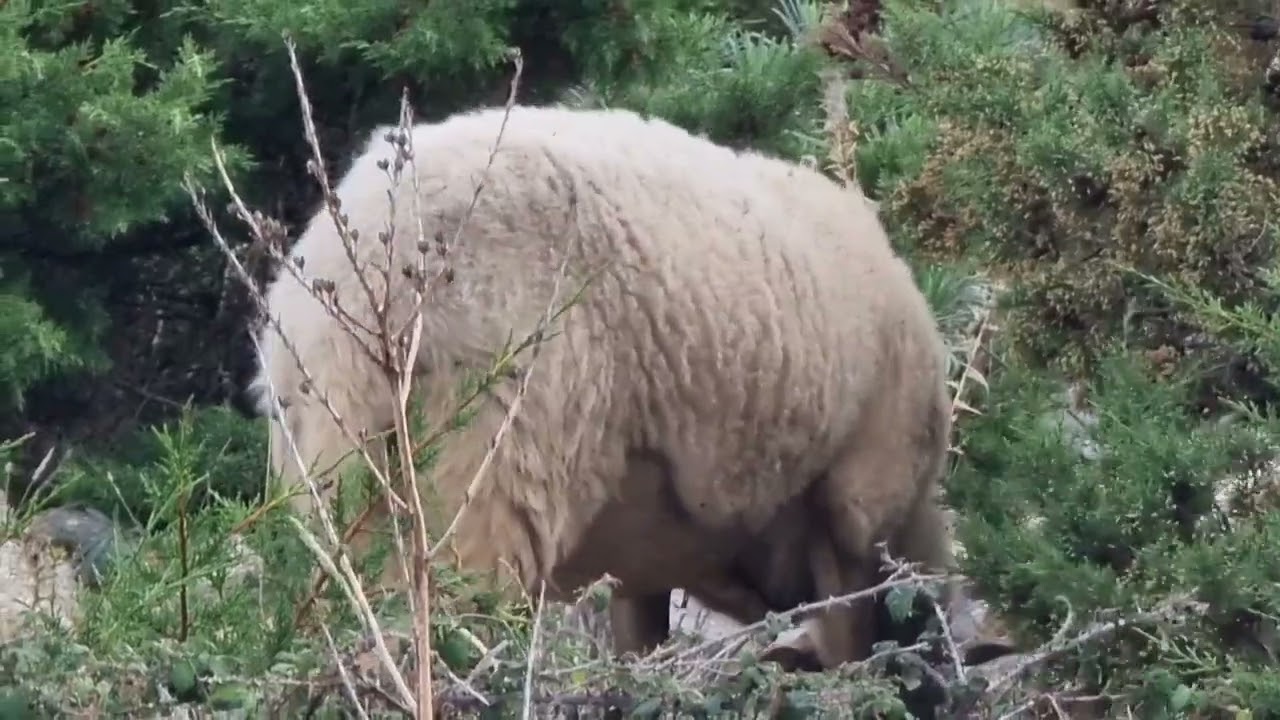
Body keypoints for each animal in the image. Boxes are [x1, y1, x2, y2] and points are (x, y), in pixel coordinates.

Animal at [248, 103, 955, 670]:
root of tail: (361, 268)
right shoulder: (856, 502)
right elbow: (849, 642)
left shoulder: (642, 559)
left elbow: (639, 636)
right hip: (484, 462)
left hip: (336, 468)